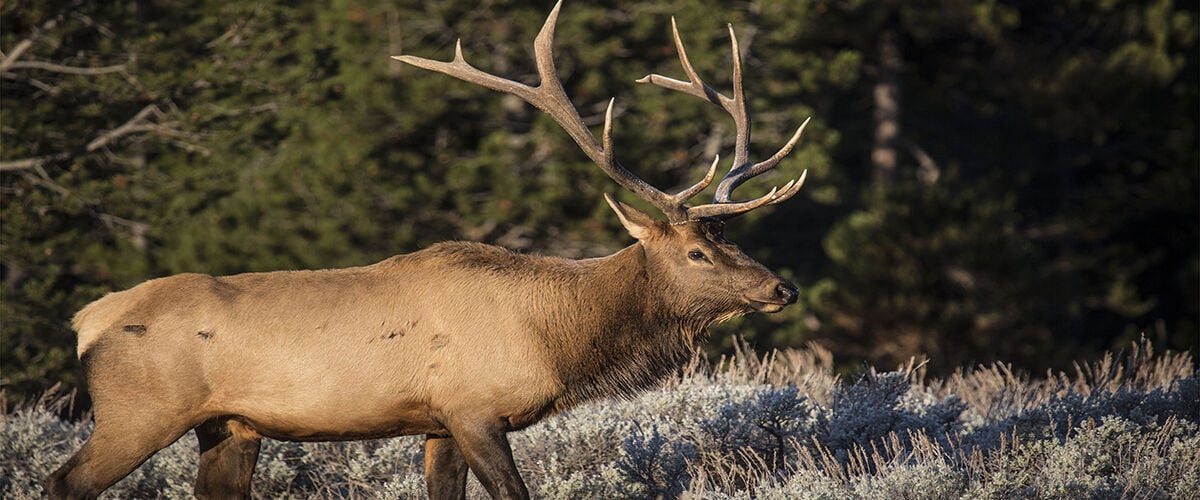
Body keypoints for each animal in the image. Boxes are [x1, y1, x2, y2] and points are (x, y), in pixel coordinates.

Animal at [47, 2, 811, 499]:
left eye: (730, 238)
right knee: (64, 481)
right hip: (139, 412)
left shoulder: (438, 422)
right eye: (696, 254)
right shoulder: (474, 408)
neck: (558, 335)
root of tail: (86, 321)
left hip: (229, 427)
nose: (783, 288)